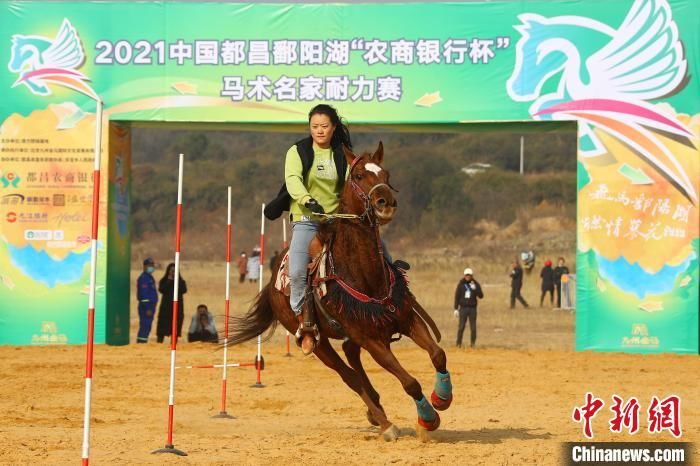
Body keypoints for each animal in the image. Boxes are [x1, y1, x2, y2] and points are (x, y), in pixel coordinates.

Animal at [227, 142, 452, 440]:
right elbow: (410, 382)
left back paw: (376, 410)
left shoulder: (407, 319)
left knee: (350, 354)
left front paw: (442, 398)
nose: (385, 203)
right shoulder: (371, 340)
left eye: (386, 173)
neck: (364, 274)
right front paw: (427, 419)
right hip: (318, 343)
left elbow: (438, 354)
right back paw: (385, 423)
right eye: (357, 175)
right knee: (349, 375)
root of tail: (272, 284)